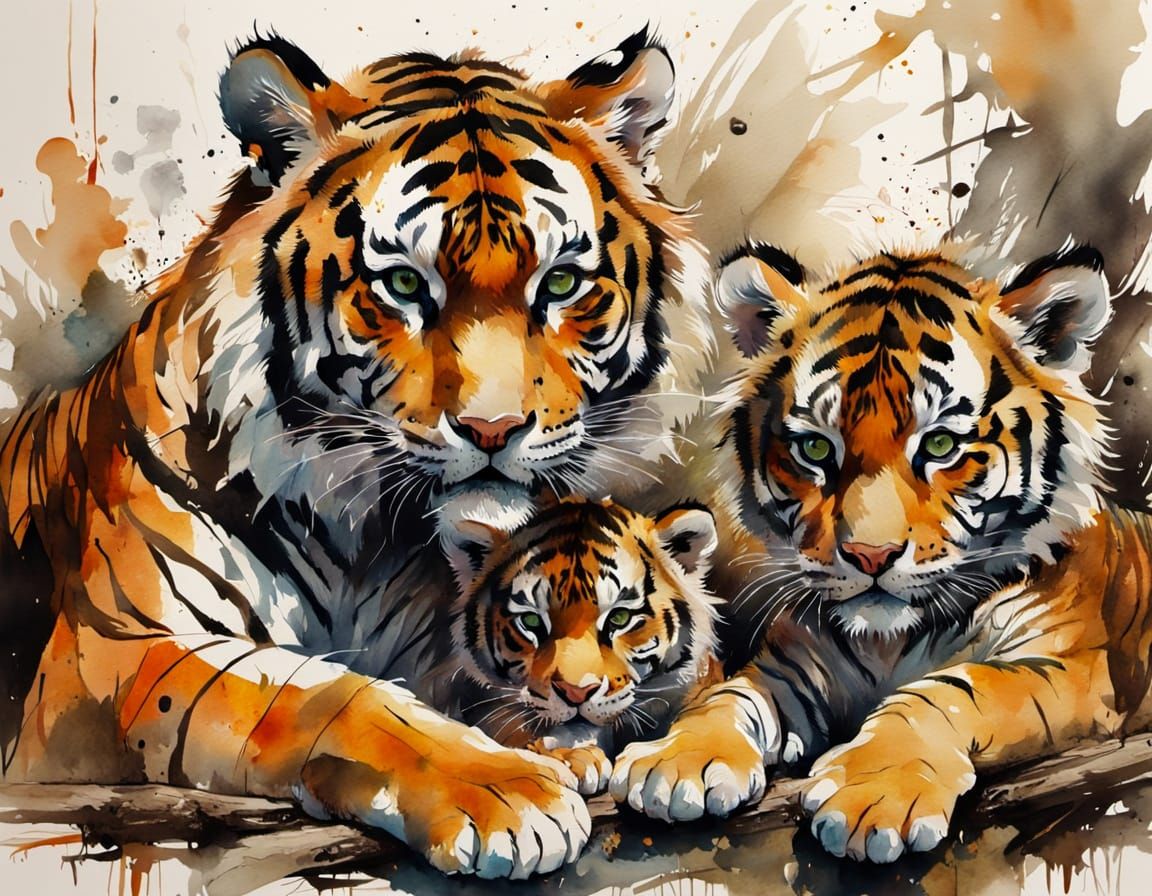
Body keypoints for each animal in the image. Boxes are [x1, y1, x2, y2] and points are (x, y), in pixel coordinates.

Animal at [609, 240, 1152, 862]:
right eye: (816, 448)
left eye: (939, 445)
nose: (870, 556)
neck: (889, 644)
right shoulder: (789, 665)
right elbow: (727, 697)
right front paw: (677, 761)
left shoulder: (1072, 669)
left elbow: (956, 688)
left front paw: (873, 794)